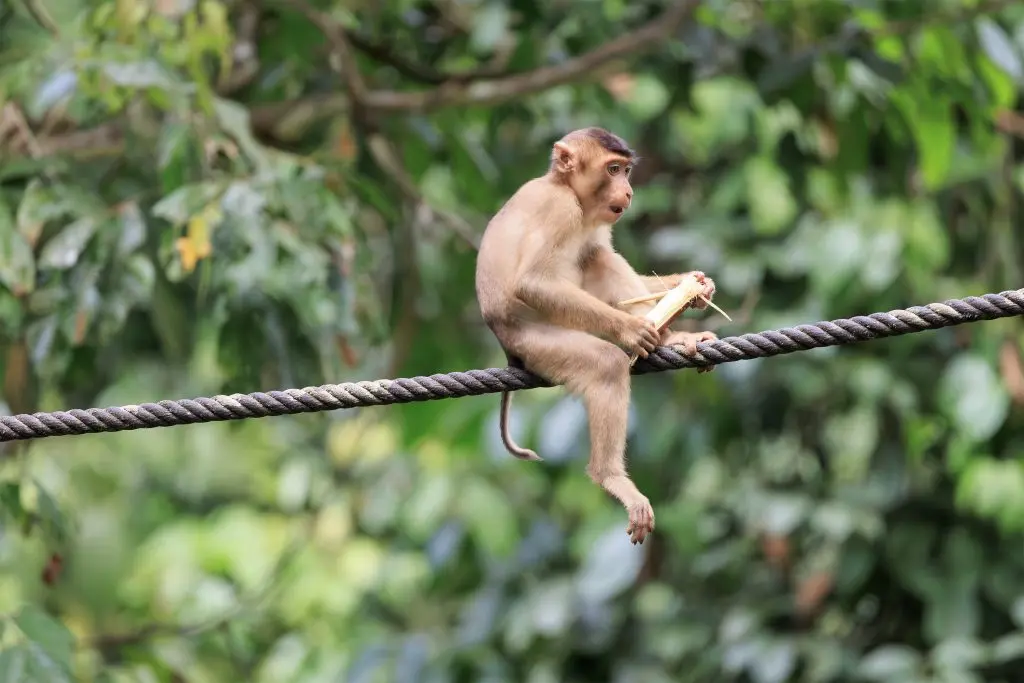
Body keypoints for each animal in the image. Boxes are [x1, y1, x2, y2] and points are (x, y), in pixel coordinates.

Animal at [474, 127, 718, 544]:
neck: (565, 188)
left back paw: (671, 338)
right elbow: (533, 283)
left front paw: (694, 286)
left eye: (626, 170)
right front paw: (632, 329)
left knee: (596, 256)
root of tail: (506, 346)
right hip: (538, 341)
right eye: (613, 169)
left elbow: (598, 252)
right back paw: (610, 476)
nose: (629, 191)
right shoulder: (559, 210)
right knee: (604, 364)